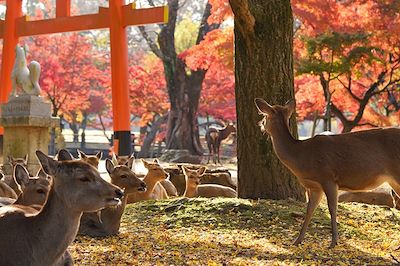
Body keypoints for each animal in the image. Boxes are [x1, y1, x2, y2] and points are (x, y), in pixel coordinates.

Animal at [256, 98, 400, 249]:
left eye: (264, 116)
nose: (260, 125)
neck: (302, 157)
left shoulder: (328, 178)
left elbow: (332, 208)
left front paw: (333, 242)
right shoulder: (315, 187)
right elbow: (309, 210)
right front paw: (296, 241)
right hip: (393, 181)